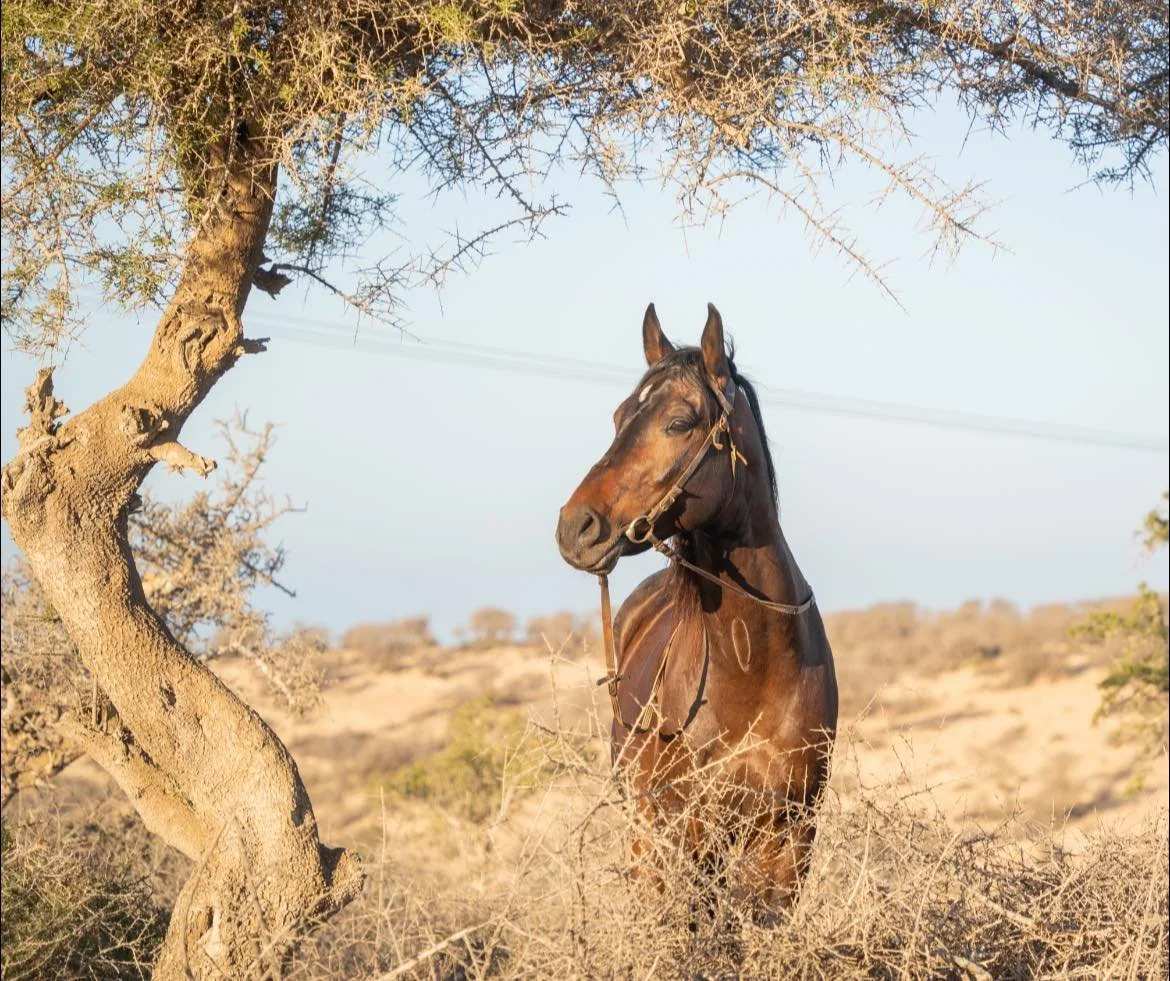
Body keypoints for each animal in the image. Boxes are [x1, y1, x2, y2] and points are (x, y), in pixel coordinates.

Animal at [555, 302, 838, 920]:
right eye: (619, 416)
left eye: (680, 422)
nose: (575, 528)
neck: (753, 659)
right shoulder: (685, 832)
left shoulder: (788, 838)